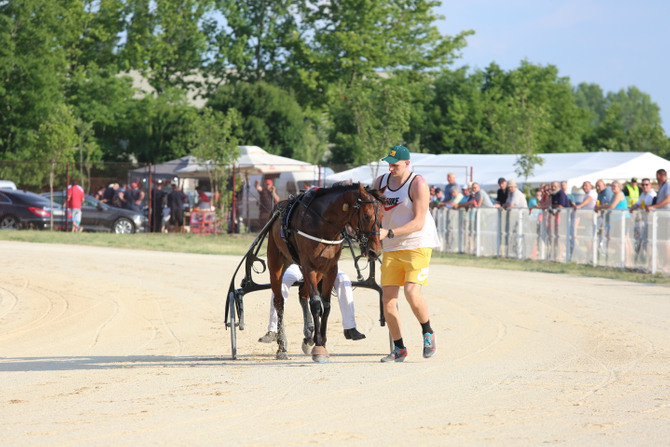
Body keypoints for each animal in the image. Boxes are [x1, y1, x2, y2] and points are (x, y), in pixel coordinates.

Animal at [266, 184, 386, 362]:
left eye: (383, 215)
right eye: (366, 216)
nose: (375, 252)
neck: (323, 223)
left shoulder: (330, 268)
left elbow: (327, 306)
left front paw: (320, 341)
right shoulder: (308, 266)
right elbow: (316, 305)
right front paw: (318, 347)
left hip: (317, 272)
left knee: (303, 294)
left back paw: (308, 336)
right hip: (277, 262)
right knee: (279, 302)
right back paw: (282, 346)